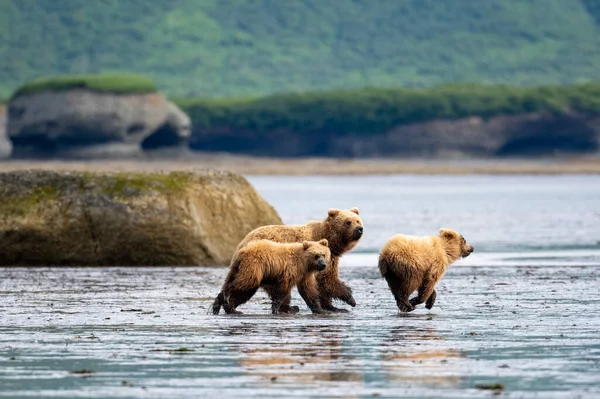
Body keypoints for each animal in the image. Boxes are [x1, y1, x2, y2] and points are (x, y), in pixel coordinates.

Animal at [232, 208, 364, 314]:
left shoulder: (327, 259)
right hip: (267, 264)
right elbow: (327, 280)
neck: (331, 242)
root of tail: (241, 245)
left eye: (358, 220)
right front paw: (349, 301)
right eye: (348, 222)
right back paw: (290, 308)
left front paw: (333, 307)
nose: (359, 229)